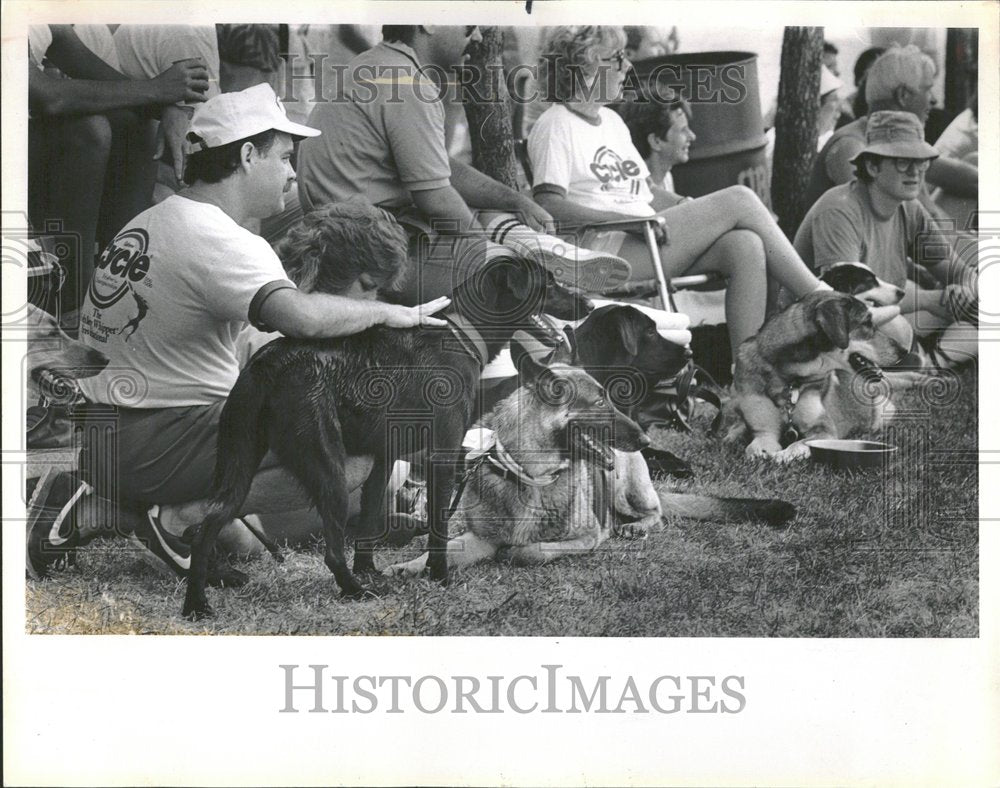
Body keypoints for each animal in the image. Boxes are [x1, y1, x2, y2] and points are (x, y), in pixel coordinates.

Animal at [724, 290, 912, 462]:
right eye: (866, 322)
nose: (904, 351)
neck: (789, 377)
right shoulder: (765, 431)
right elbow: (754, 447)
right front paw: (761, 452)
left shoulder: (824, 430)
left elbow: (799, 443)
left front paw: (784, 455)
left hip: (882, 413)